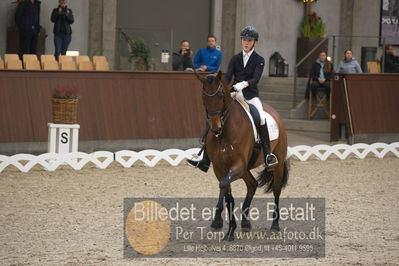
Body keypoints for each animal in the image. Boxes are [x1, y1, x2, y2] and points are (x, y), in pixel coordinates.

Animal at [197, 70, 290, 241]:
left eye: (221, 95)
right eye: (203, 96)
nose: (216, 128)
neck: (225, 132)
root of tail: (274, 112)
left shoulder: (237, 166)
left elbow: (224, 186)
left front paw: (223, 224)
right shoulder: (220, 168)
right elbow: (227, 193)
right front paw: (227, 227)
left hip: (277, 164)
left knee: (276, 190)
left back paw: (274, 225)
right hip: (245, 169)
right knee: (252, 184)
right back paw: (245, 223)